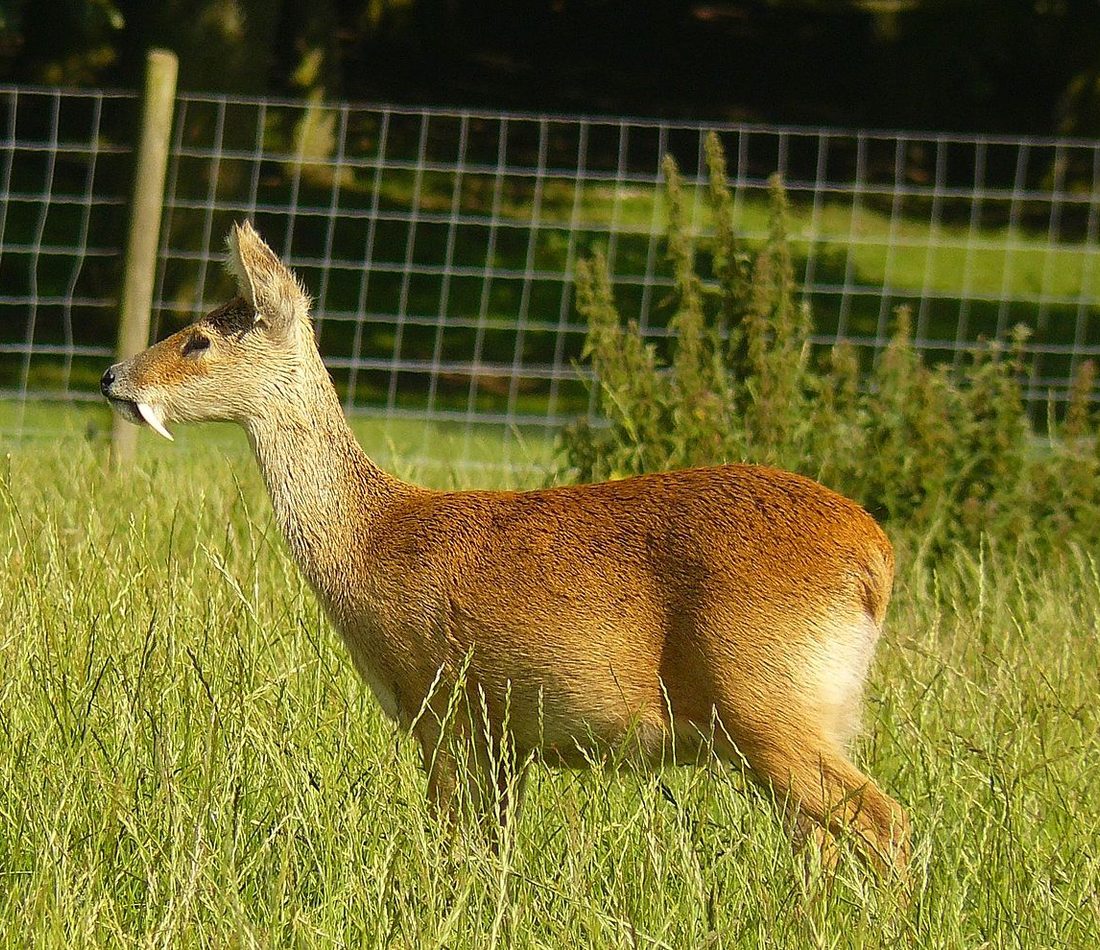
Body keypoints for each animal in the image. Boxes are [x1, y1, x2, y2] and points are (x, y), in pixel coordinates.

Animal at [100, 221, 910, 878]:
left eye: (200, 339)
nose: (112, 377)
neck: (370, 540)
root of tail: (874, 557)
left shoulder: (441, 706)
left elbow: (449, 842)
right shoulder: (503, 737)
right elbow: (496, 849)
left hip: (762, 698)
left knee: (886, 822)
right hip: (803, 715)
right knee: (822, 839)